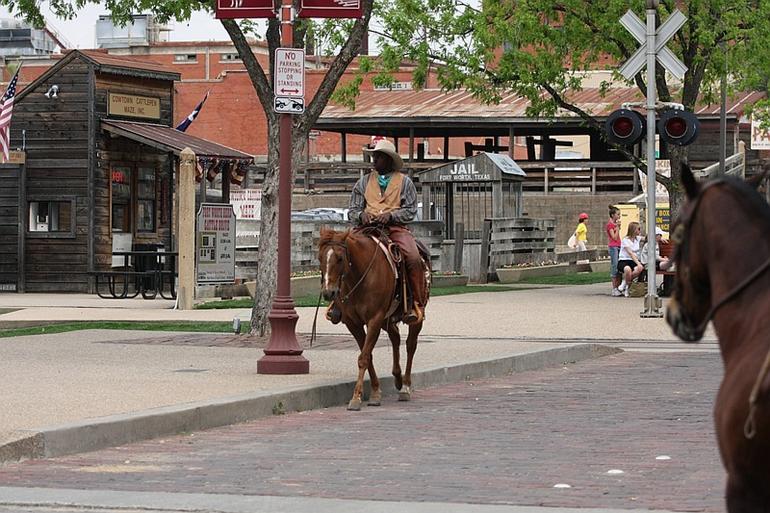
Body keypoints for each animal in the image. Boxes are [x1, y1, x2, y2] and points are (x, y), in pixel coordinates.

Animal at [316, 226, 428, 410]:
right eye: (320, 257)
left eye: (340, 258)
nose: (328, 292)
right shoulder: (353, 323)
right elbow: (367, 355)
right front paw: (375, 392)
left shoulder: (374, 319)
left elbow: (364, 357)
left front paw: (356, 398)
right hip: (386, 319)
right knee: (395, 337)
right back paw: (397, 378)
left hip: (416, 315)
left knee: (411, 345)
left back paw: (405, 386)